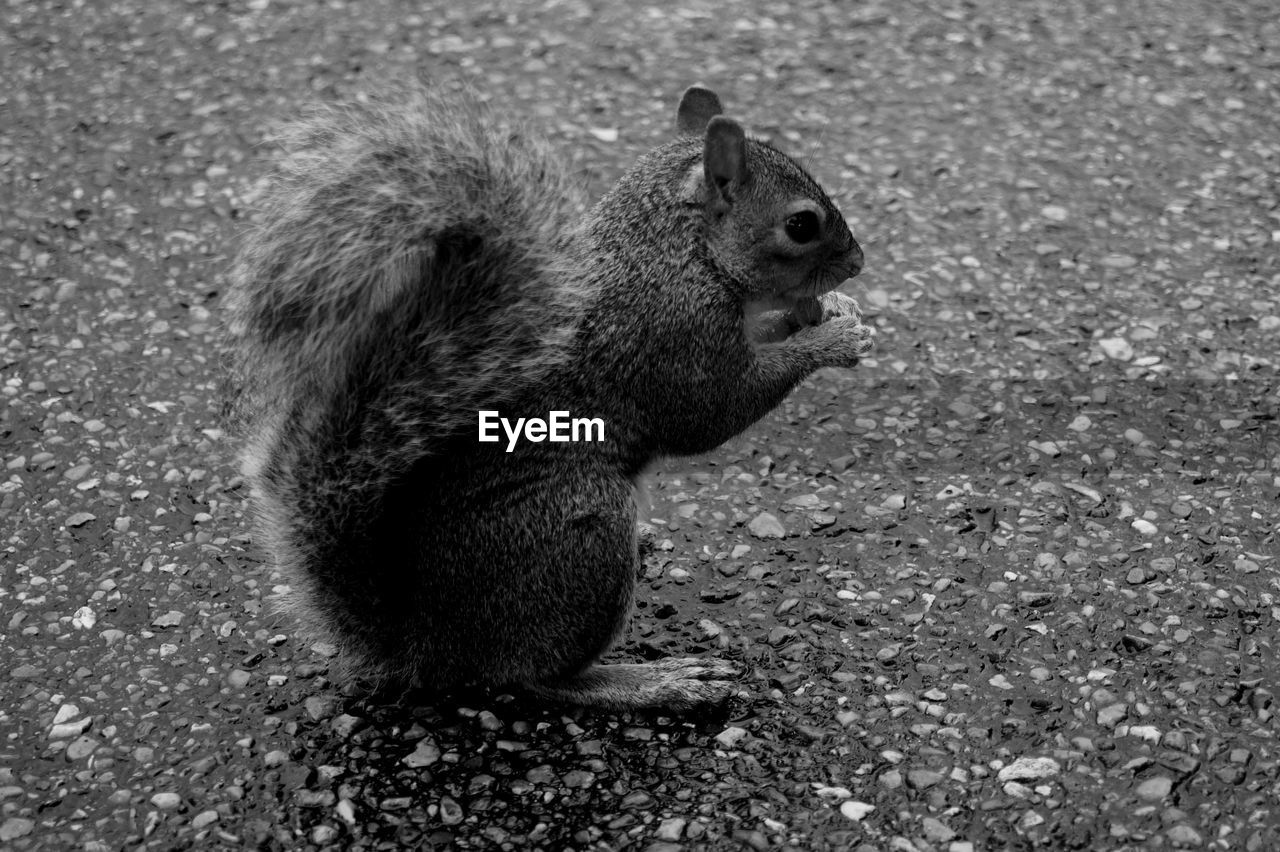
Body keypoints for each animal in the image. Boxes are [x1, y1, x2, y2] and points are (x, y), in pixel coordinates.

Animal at [225, 81, 875, 711]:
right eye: (801, 225)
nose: (859, 262)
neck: (679, 248)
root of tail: (426, 645)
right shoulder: (672, 337)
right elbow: (714, 412)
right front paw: (832, 340)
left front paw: (828, 312)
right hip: (579, 536)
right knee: (529, 678)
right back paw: (658, 682)